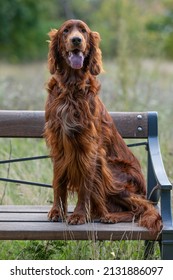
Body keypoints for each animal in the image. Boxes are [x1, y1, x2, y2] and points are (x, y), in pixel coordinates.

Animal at [44, 19, 162, 232]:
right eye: (66, 30)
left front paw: (79, 215)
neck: (71, 87)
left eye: (83, 31)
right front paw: (57, 211)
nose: (76, 40)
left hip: (112, 172)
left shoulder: (89, 149)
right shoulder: (58, 144)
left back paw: (110, 216)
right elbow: (59, 181)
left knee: (143, 207)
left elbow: (85, 185)